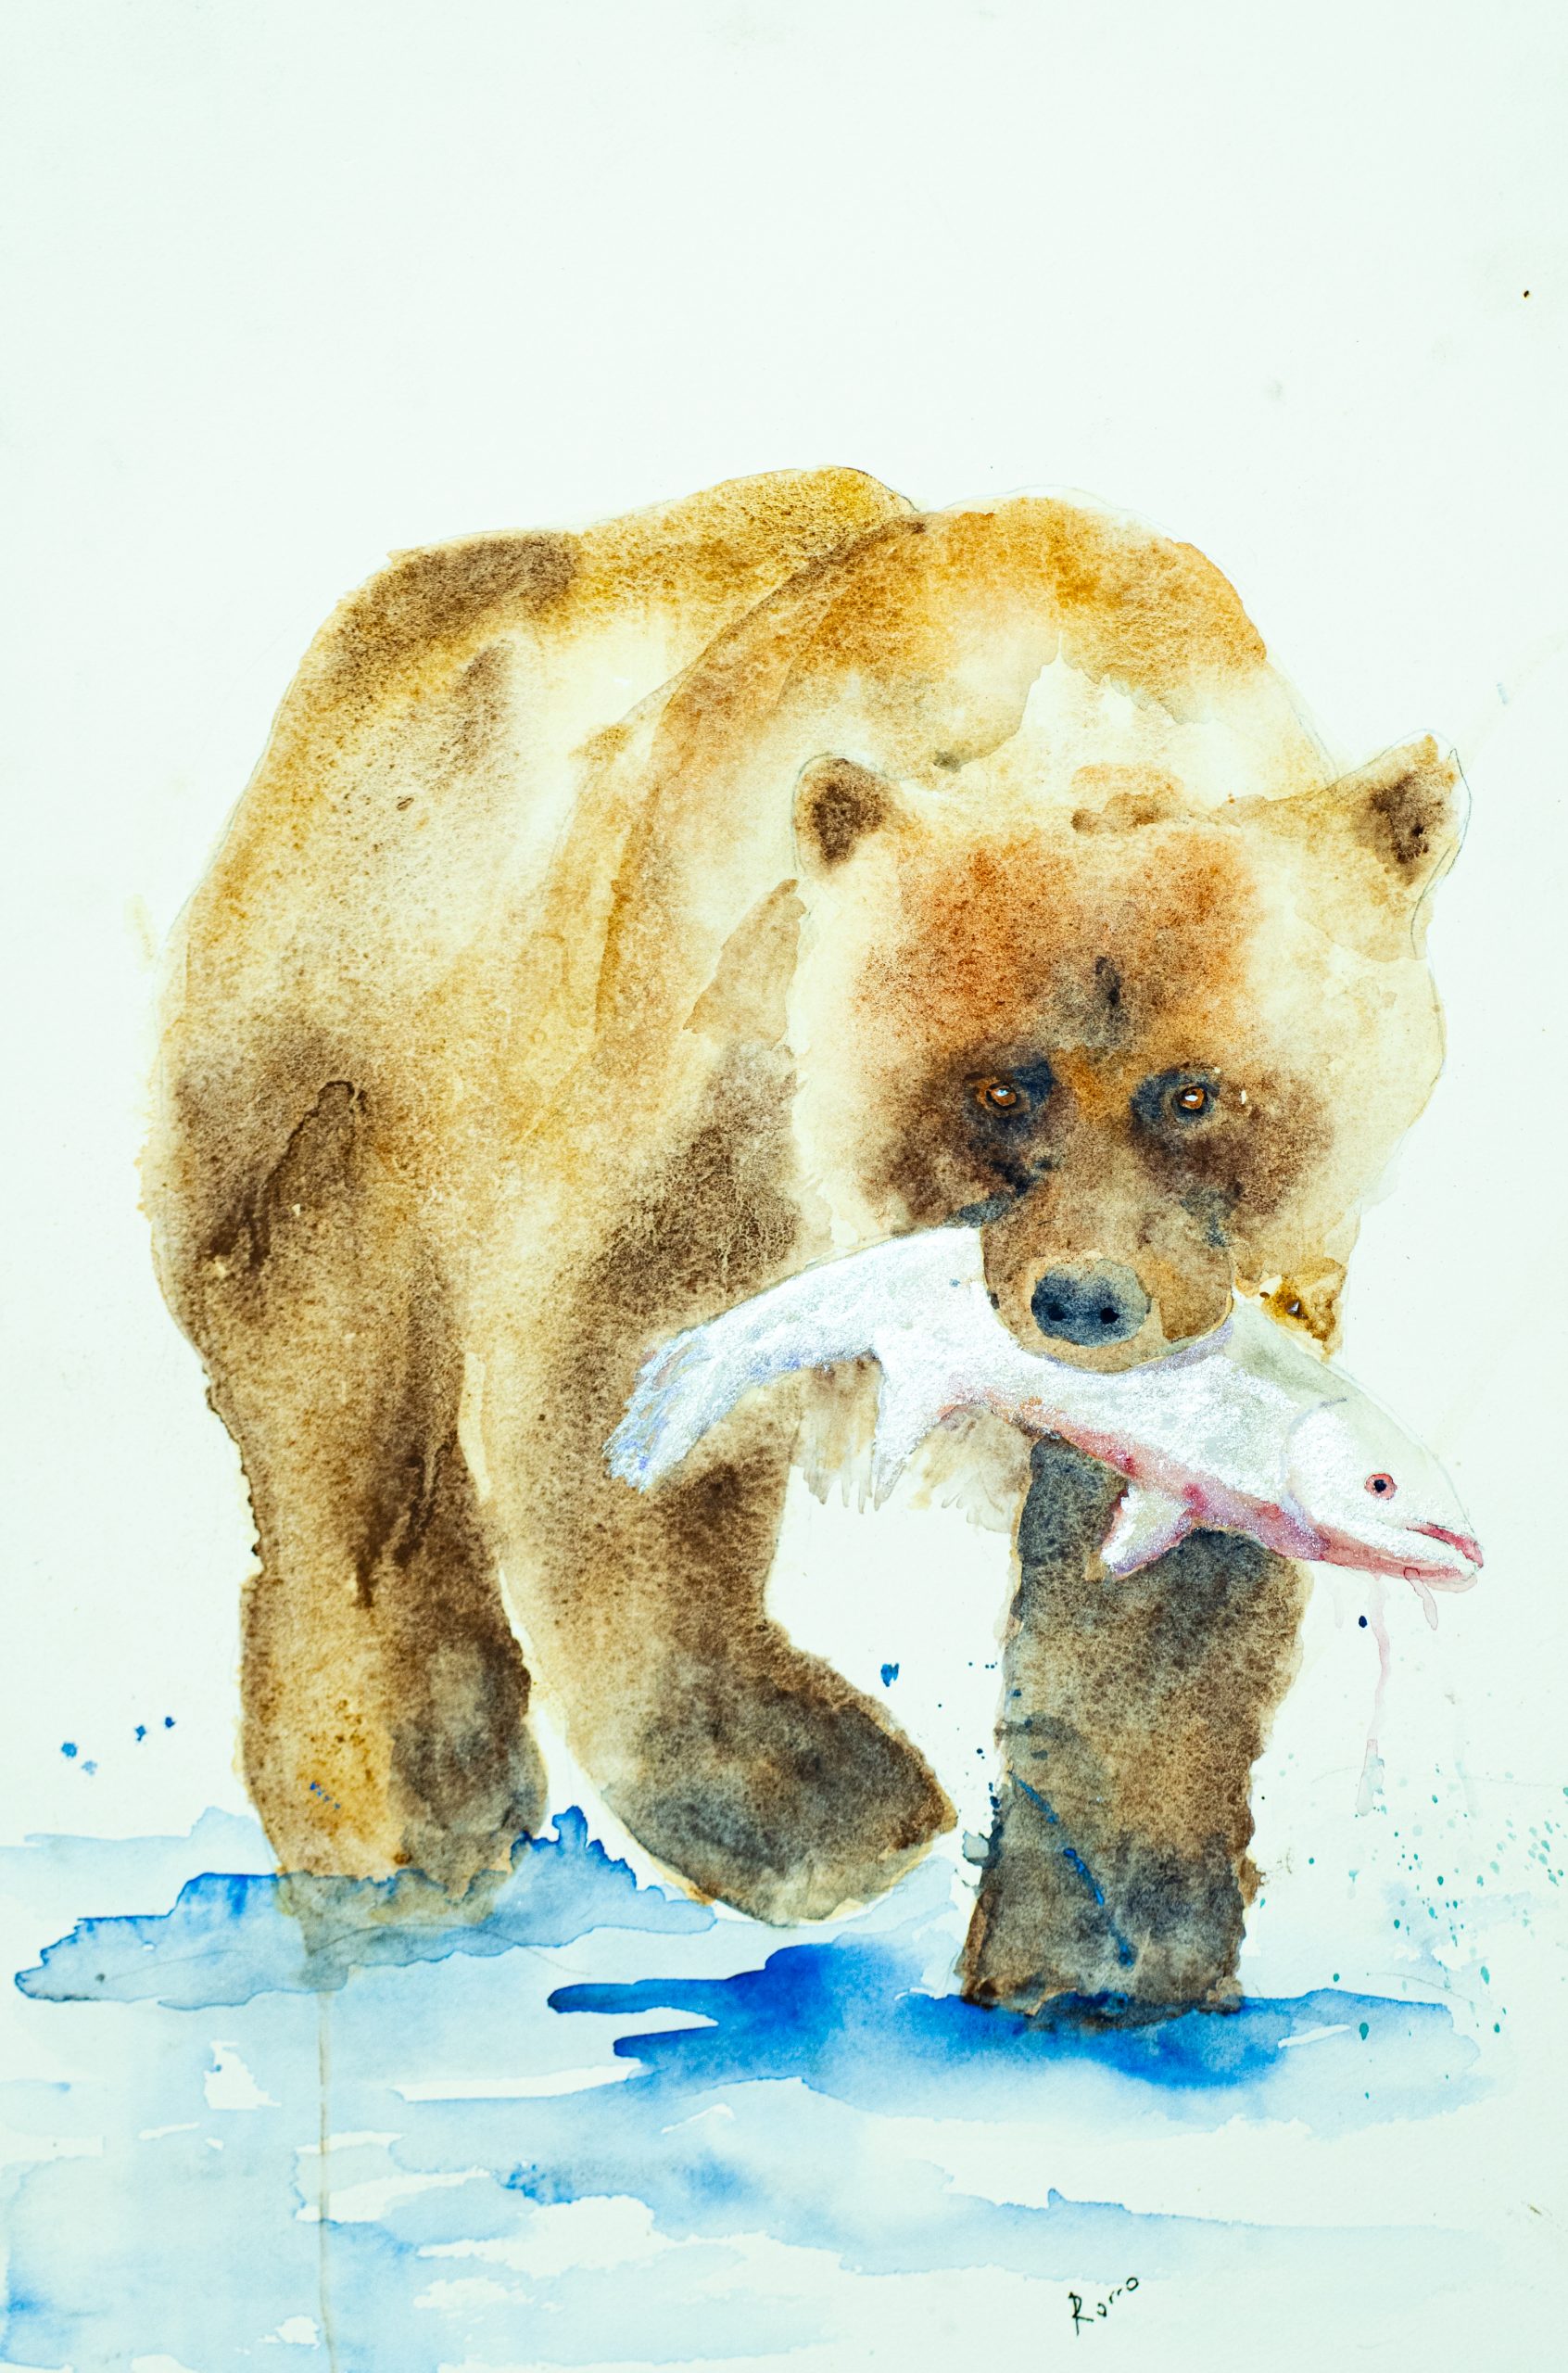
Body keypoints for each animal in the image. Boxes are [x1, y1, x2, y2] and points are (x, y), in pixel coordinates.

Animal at [145, 467, 1461, 2017]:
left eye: (1194, 1093)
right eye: (998, 1084)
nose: (1085, 1304)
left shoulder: (1229, 1316)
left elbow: (1156, 1579)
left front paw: (1103, 1960)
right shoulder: (699, 1068)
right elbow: (613, 1421)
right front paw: (843, 1811)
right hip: (339, 1044)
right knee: (337, 1423)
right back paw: (398, 1834)